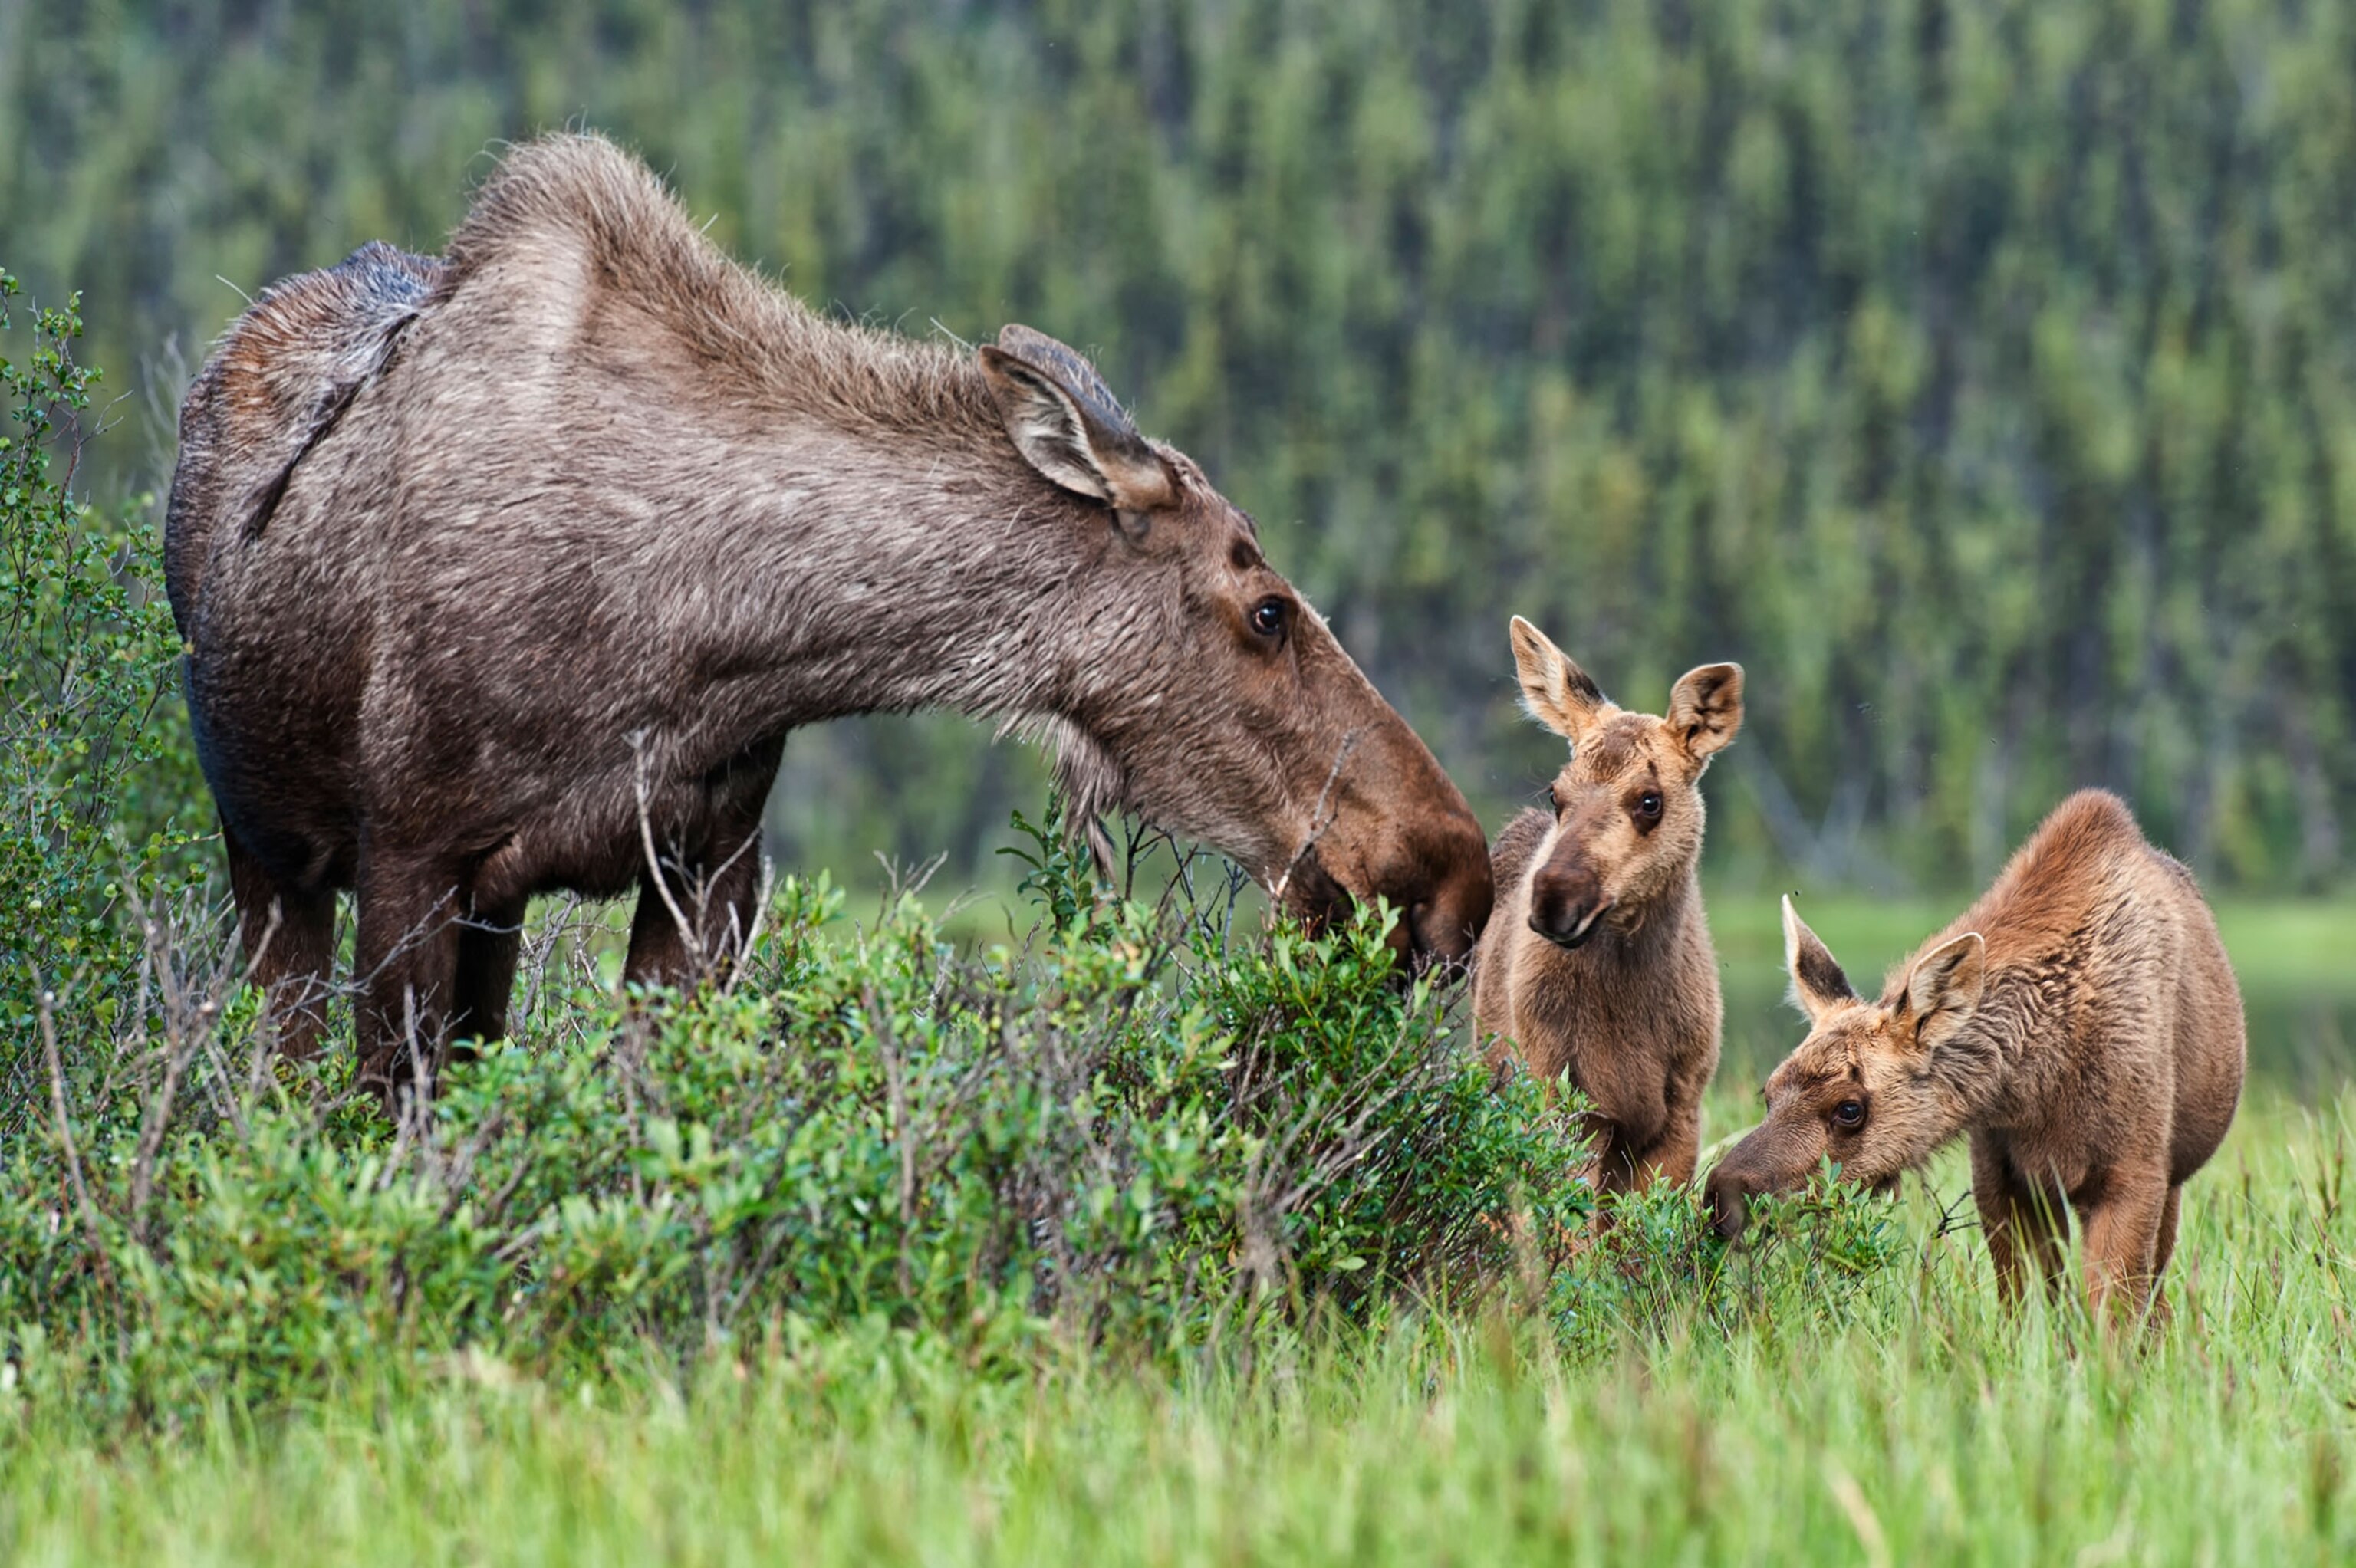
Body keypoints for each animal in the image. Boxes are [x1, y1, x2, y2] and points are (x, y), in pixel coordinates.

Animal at [164, 132, 1493, 1103]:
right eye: (1267, 609)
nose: (1455, 871)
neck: (712, 635)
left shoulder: (708, 865)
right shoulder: (408, 855)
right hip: (266, 852)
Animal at [1704, 790, 2246, 1325]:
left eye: (1850, 1108)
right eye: (1768, 1090)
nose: (1722, 1194)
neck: (2038, 1080)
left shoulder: (2135, 1175)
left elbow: (2110, 1320)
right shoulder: (2000, 1177)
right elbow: (2026, 1313)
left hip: (2172, 1178)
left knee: (2158, 1298)